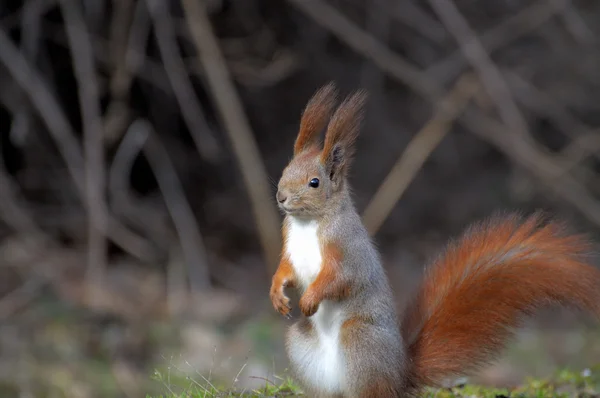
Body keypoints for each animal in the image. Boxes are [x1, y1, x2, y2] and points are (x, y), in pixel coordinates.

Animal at [270, 82, 600, 396]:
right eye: (285, 170)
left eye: (314, 183)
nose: (281, 197)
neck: (308, 223)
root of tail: (400, 375)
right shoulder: (289, 243)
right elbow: (286, 268)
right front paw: (277, 293)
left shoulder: (347, 248)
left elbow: (341, 277)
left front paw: (310, 298)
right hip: (301, 345)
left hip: (360, 341)